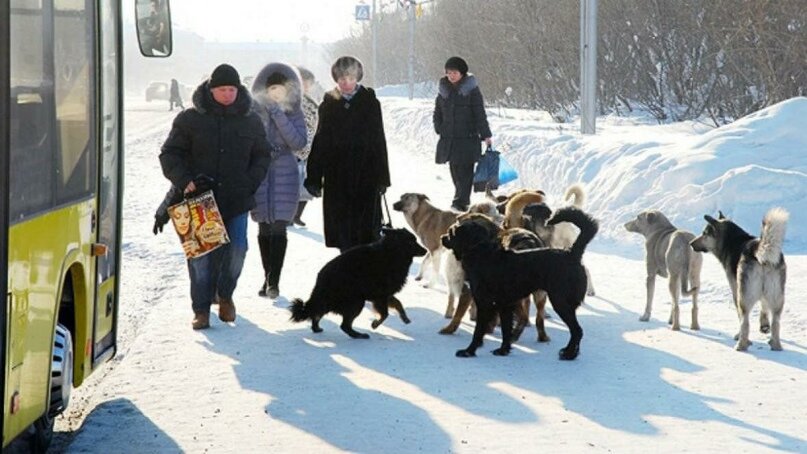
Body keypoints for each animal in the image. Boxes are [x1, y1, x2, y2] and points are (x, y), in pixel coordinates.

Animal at [290, 229, 430, 338]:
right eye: (411, 241)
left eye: (415, 240)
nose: (425, 250)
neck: (391, 252)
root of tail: (321, 280)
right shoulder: (380, 296)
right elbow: (385, 314)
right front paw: (375, 324)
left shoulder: (385, 294)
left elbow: (398, 303)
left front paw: (404, 317)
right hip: (356, 302)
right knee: (344, 325)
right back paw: (358, 335)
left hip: (331, 301)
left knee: (317, 313)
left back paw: (317, 328)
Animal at [442, 207, 600, 360]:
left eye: (451, 232)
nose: (442, 237)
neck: (482, 252)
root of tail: (571, 253)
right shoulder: (504, 305)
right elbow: (506, 330)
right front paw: (503, 350)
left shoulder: (484, 303)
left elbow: (478, 331)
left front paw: (469, 351)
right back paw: (568, 351)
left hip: (560, 301)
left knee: (577, 330)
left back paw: (569, 354)